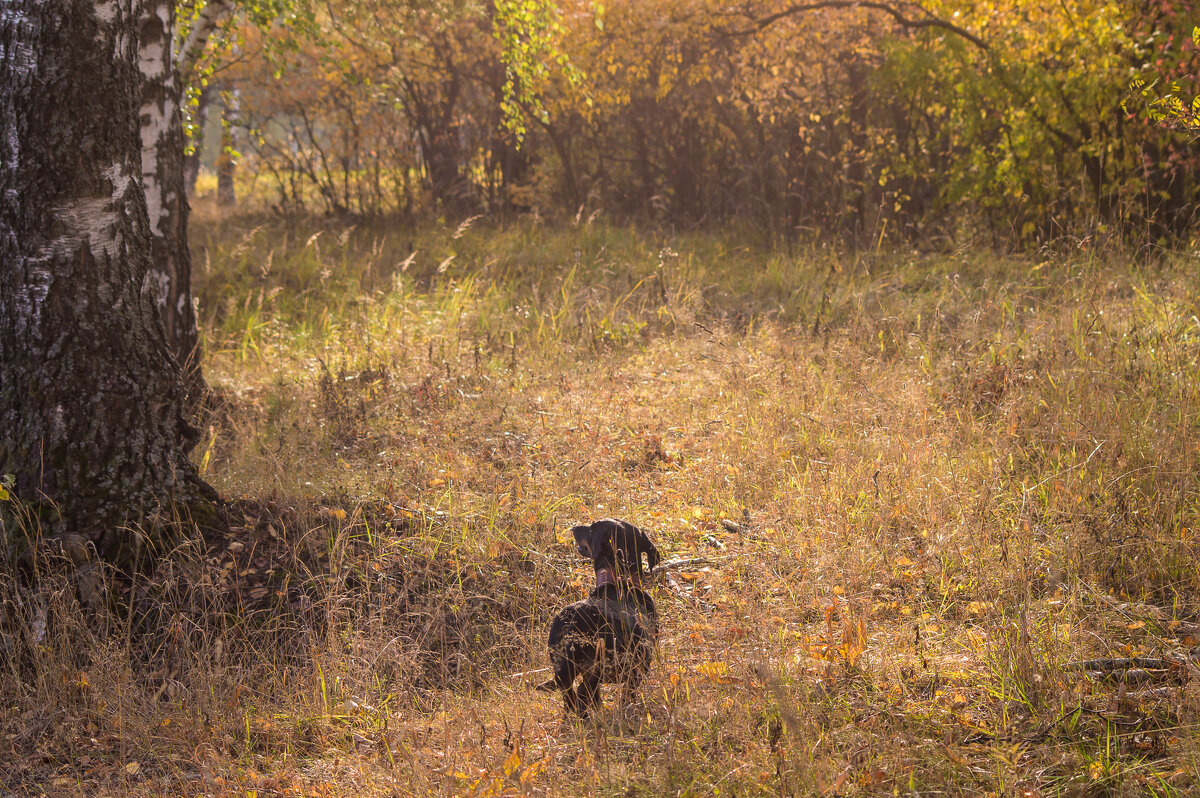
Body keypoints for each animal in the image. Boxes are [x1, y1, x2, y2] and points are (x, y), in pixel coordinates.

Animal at [540, 516, 662, 715]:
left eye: (590, 530)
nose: (573, 528)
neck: (618, 580)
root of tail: (573, 621)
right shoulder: (637, 669)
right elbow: (628, 695)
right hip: (596, 669)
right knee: (582, 695)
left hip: (566, 671)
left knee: (571, 698)